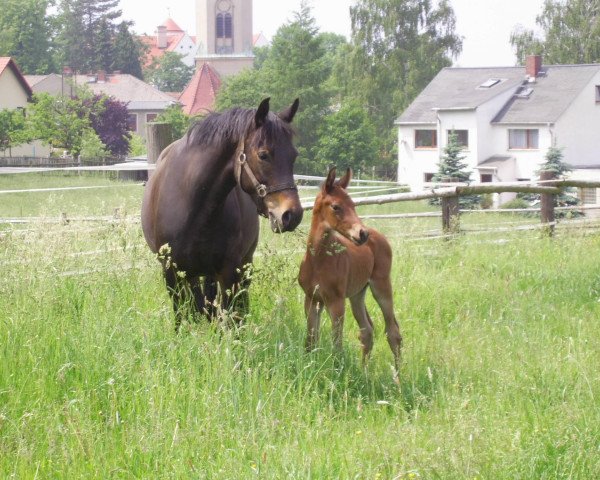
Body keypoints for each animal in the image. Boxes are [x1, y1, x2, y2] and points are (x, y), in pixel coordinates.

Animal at [142, 98, 304, 330]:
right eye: (263, 155)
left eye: (293, 156)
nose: (292, 214)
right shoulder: (171, 272)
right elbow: (182, 319)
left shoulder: (229, 272)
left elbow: (228, 320)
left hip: (241, 266)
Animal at [298, 167, 404, 366]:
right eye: (336, 206)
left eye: (354, 205)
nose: (362, 234)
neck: (318, 260)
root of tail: (379, 235)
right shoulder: (312, 299)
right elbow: (310, 340)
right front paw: (308, 366)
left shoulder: (336, 302)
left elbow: (336, 344)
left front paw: (336, 369)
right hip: (357, 294)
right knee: (367, 330)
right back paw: (365, 371)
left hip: (381, 286)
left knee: (393, 331)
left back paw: (398, 372)